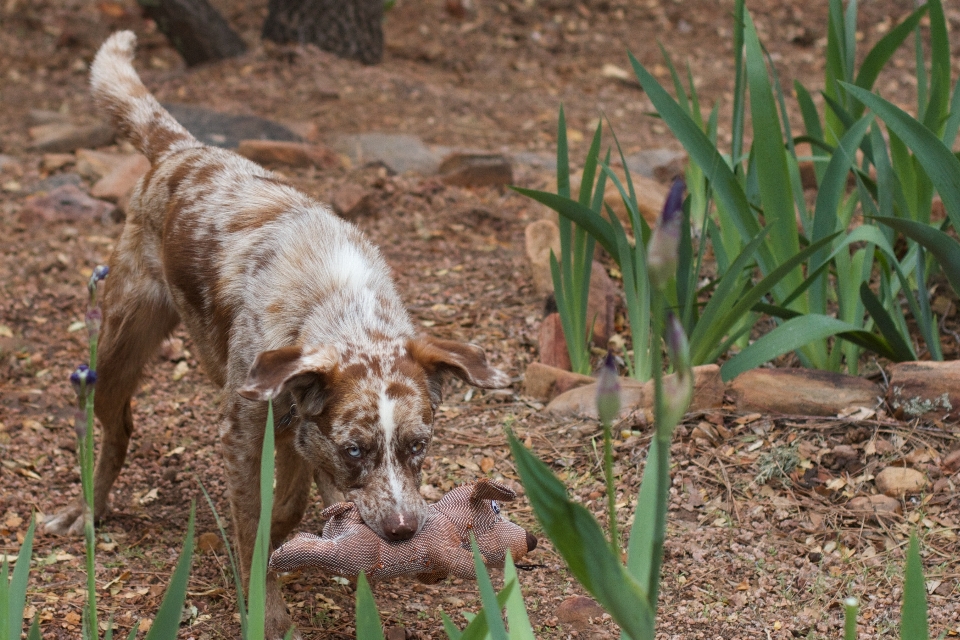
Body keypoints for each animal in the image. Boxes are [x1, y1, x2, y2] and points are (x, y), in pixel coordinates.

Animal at [47, 31, 510, 640]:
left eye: (419, 446)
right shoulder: (246, 435)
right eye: (356, 448)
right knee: (117, 428)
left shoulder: (297, 428)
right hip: (116, 354)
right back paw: (88, 511)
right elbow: (260, 522)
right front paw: (265, 607)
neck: (337, 304)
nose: (405, 531)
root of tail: (182, 149)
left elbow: (294, 503)